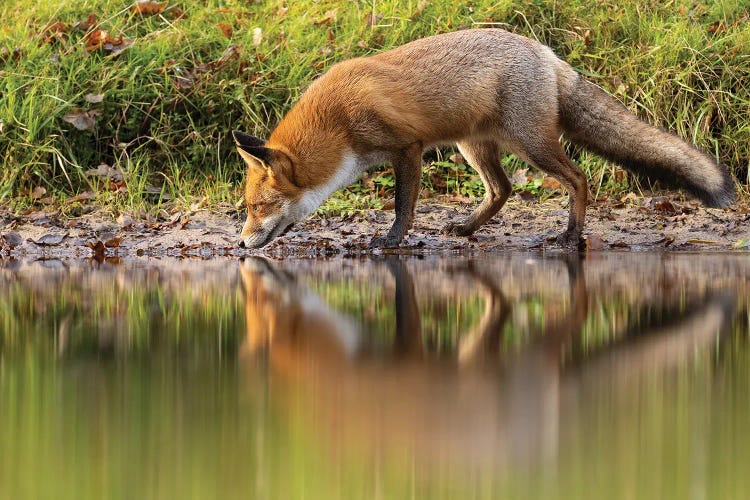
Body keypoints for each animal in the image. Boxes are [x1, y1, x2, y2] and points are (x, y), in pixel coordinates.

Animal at [235, 26, 740, 249]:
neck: (337, 122)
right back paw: (467, 228)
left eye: (257, 208)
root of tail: (544, 51)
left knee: (578, 178)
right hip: (474, 146)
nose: (239, 245)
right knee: (503, 190)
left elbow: (402, 206)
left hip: (530, 144)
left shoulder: (407, 148)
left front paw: (391, 240)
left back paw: (570, 234)